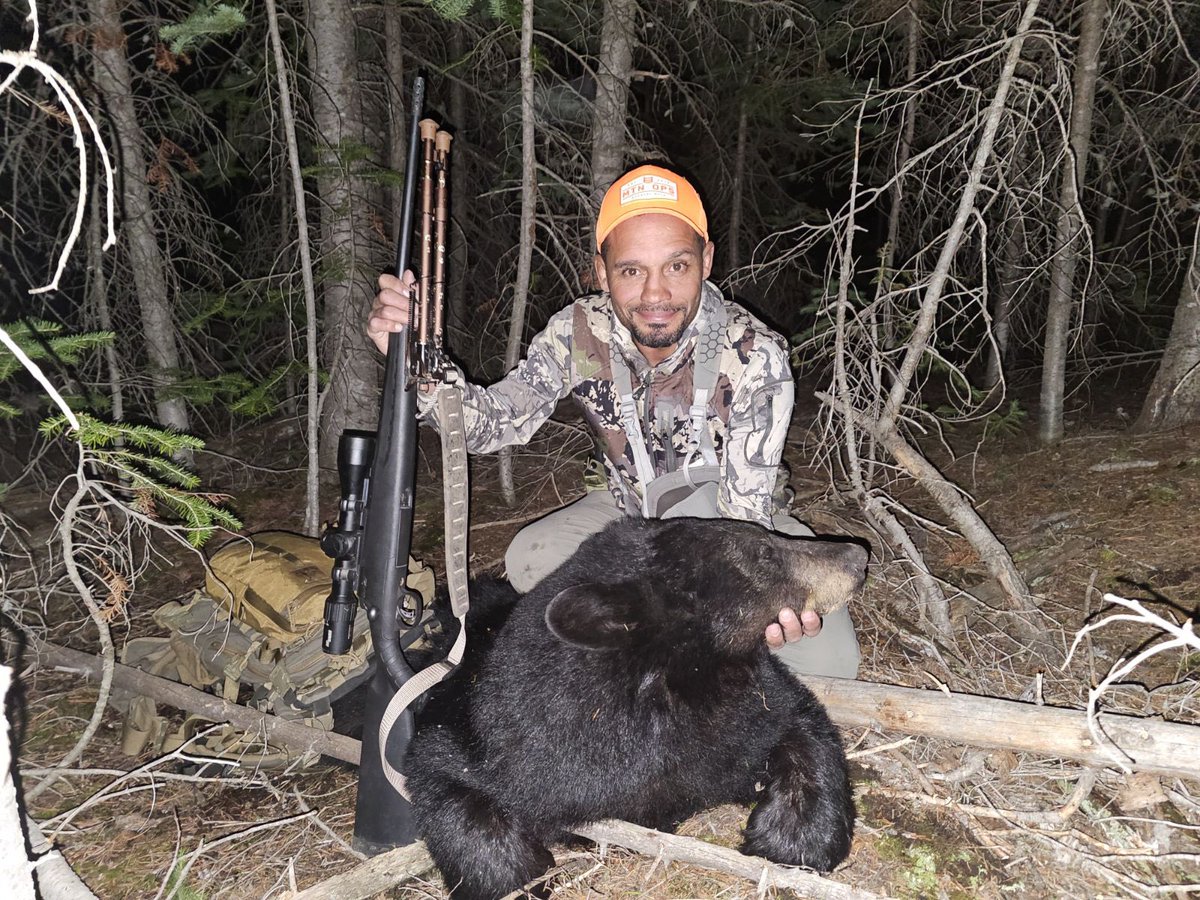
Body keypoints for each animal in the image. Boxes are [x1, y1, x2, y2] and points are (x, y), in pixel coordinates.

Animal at [403, 516, 867, 900]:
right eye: (764, 551)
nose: (857, 555)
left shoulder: (750, 702)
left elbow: (801, 723)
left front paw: (789, 838)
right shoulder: (501, 736)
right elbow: (444, 776)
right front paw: (518, 881)